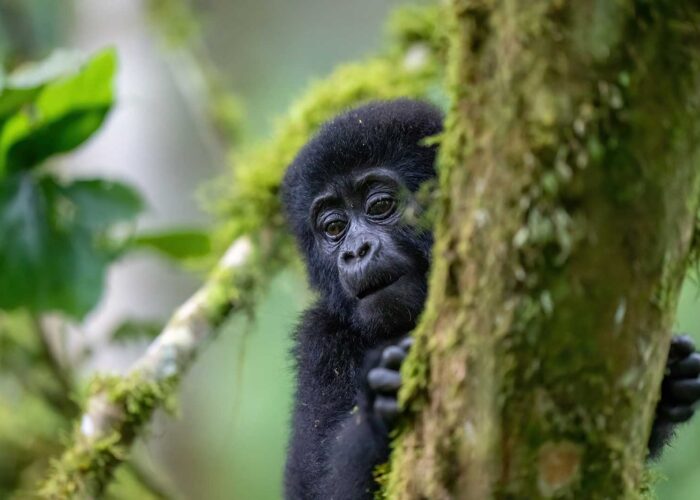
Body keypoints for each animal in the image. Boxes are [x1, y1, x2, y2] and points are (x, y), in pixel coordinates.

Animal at [280, 98, 700, 500]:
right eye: (334, 228)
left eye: (380, 205)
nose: (355, 251)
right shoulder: (320, 342)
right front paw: (380, 403)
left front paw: (670, 381)